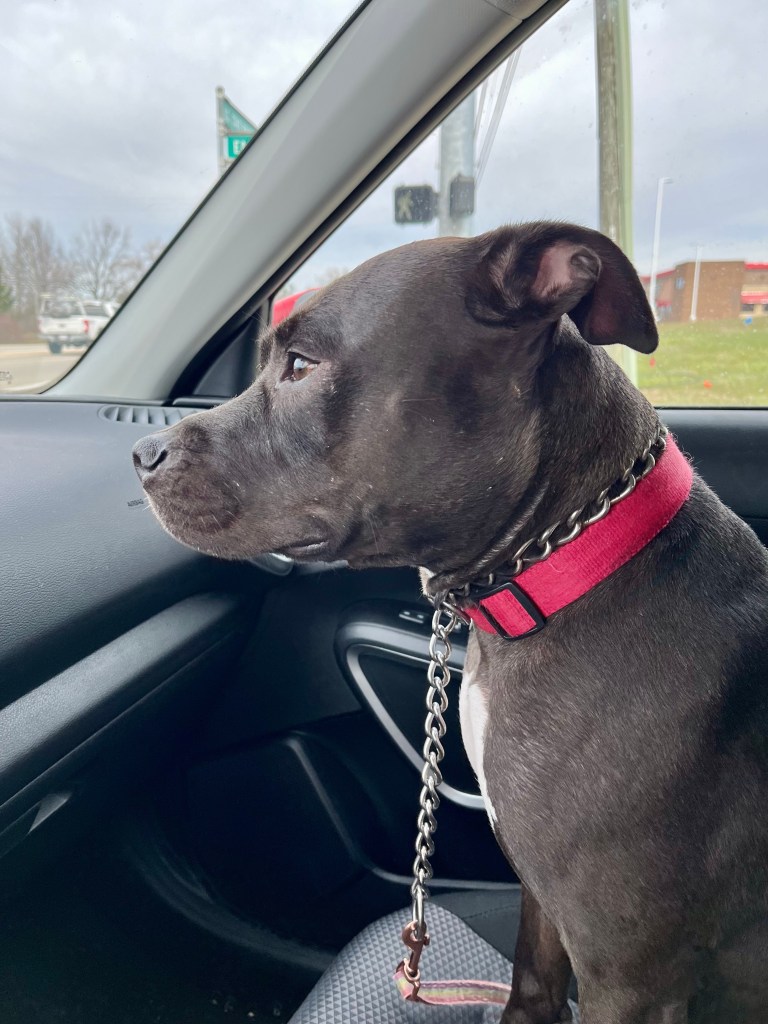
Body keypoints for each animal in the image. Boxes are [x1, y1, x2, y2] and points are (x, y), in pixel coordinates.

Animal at [133, 222, 768, 1023]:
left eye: (302, 365)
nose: (141, 453)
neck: (564, 559)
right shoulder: (541, 898)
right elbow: (530, 983)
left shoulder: (631, 978)